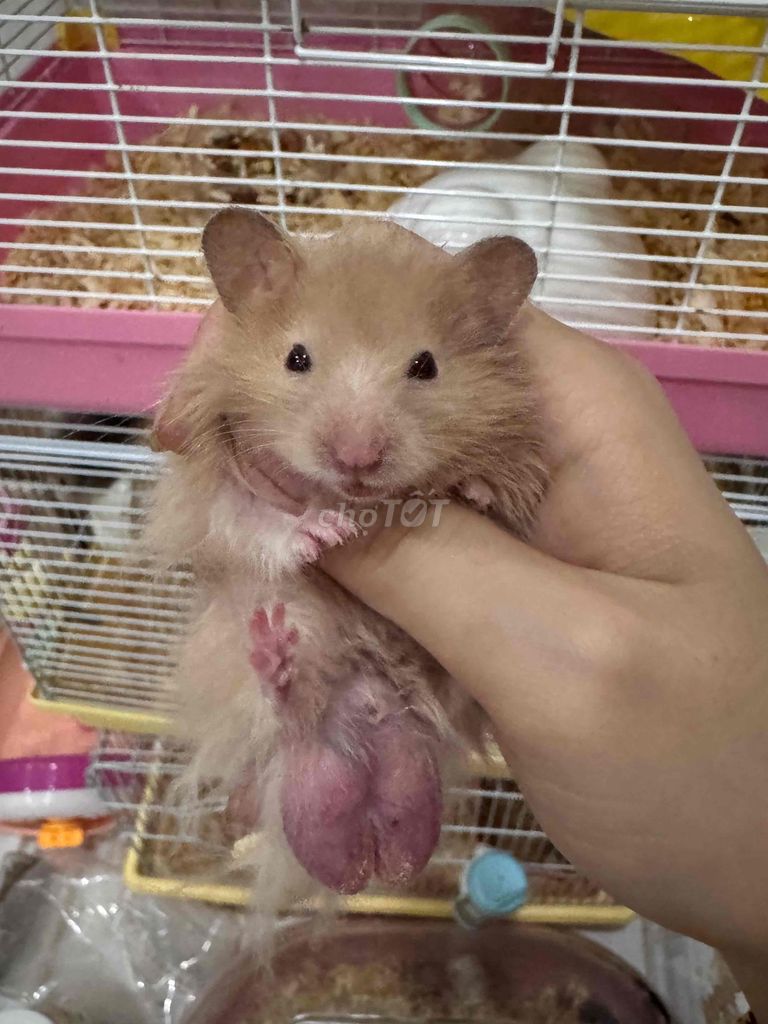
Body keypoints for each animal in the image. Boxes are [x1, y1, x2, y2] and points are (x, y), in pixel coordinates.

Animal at [146, 209, 547, 907]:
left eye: (426, 366)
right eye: (296, 358)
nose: (356, 460)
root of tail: (370, 718)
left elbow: (496, 496)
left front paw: (472, 489)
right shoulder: (214, 488)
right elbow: (252, 524)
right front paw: (322, 535)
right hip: (265, 648)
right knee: (289, 705)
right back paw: (276, 656)